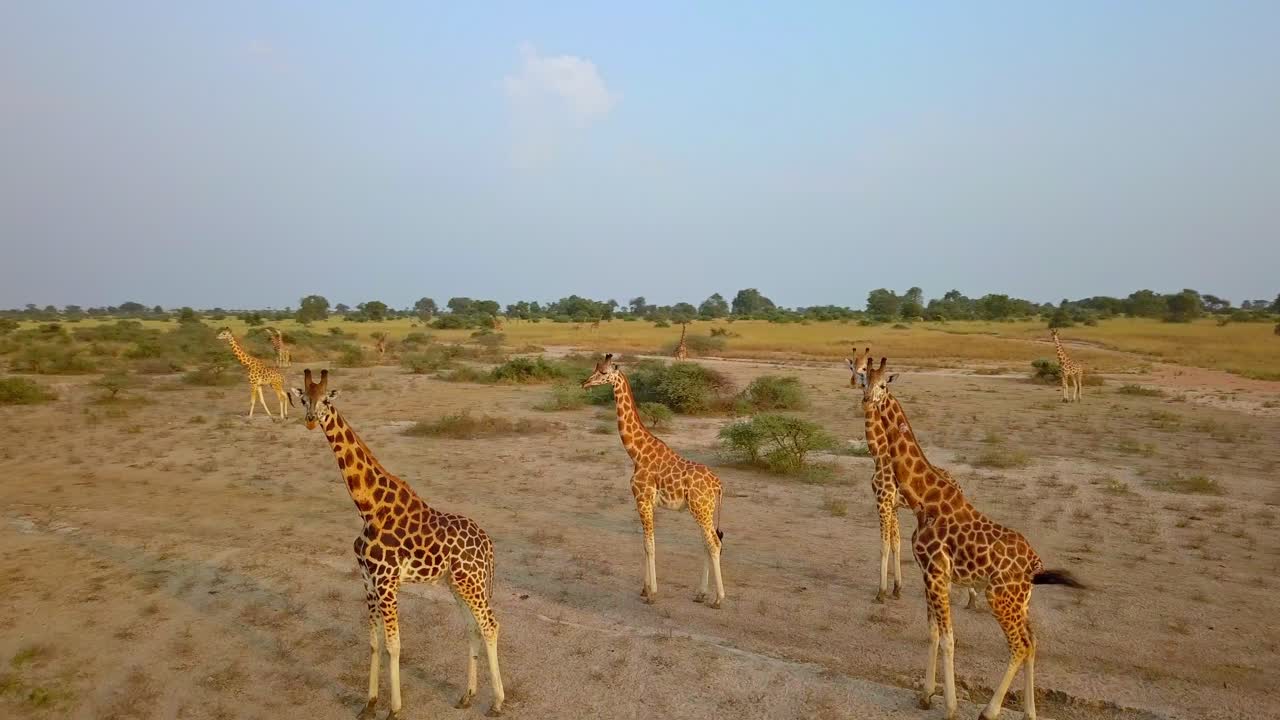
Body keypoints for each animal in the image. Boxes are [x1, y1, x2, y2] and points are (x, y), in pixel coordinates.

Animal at [289, 369, 505, 719]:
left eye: (326, 401)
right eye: (305, 399)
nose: (310, 420)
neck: (367, 508)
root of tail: (487, 542)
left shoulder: (387, 581)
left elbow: (394, 644)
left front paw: (394, 709)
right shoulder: (368, 580)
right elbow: (374, 641)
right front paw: (369, 704)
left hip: (470, 581)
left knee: (490, 625)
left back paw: (498, 702)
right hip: (456, 582)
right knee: (472, 627)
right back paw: (467, 696)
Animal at [582, 354, 725, 607]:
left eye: (603, 373)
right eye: (595, 369)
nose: (585, 382)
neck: (636, 453)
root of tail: (718, 485)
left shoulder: (642, 498)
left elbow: (649, 544)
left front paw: (652, 593)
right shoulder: (648, 502)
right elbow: (645, 544)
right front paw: (644, 588)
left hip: (700, 509)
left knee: (714, 544)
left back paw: (718, 599)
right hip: (703, 510)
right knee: (707, 543)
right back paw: (700, 593)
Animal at [846, 350, 979, 609]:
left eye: (883, 384)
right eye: (860, 374)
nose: (864, 396)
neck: (878, 454)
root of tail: (959, 486)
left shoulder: (883, 501)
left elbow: (884, 545)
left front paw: (881, 592)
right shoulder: (894, 505)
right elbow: (896, 543)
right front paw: (897, 589)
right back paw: (969, 598)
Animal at [861, 355, 1084, 720]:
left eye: (883, 384)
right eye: (864, 379)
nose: (867, 400)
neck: (925, 499)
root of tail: (1035, 564)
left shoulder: (937, 572)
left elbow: (949, 637)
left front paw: (949, 706)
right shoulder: (929, 573)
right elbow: (933, 632)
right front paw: (926, 694)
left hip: (999, 597)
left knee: (1019, 645)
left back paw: (989, 711)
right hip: (1020, 601)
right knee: (1033, 641)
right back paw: (1029, 712)